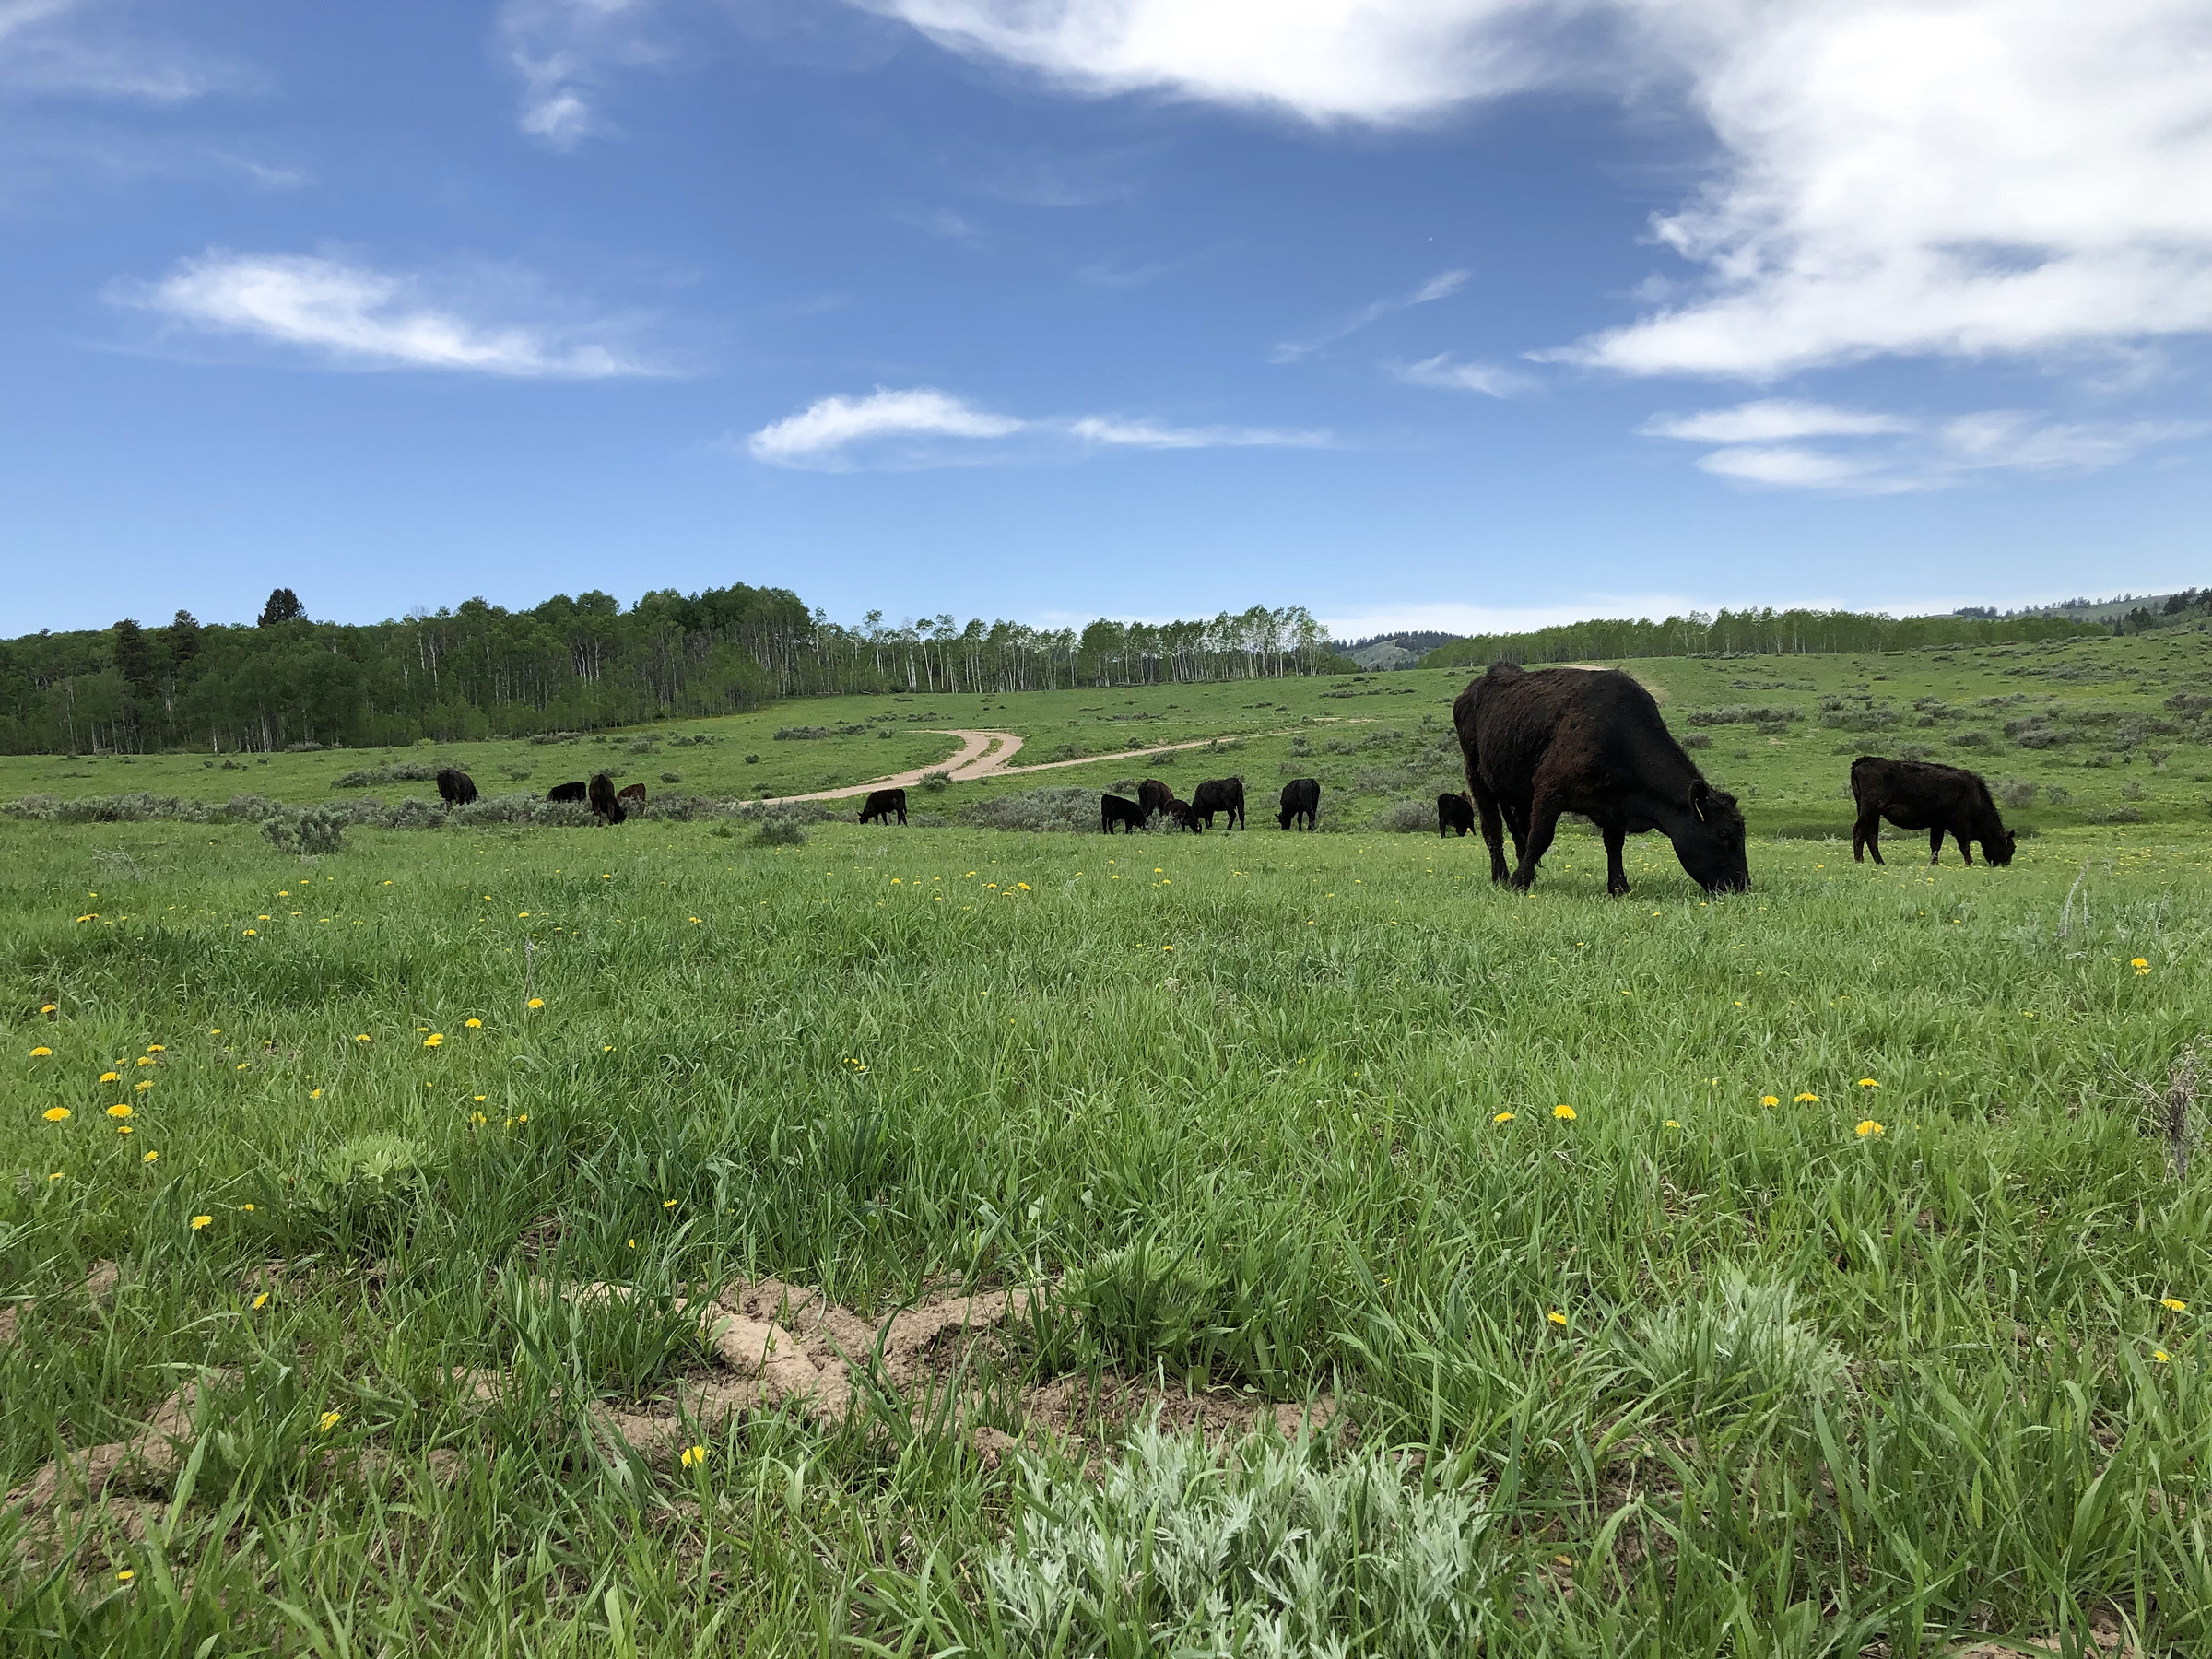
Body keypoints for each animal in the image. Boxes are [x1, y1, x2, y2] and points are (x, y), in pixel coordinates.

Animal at [1453, 662, 1748, 896]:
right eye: (1723, 835)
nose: (1742, 885)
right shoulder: (1550, 791)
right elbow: (1541, 837)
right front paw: (1518, 883)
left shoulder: (1615, 807)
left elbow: (1614, 846)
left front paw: (1619, 887)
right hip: (1478, 778)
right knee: (1493, 829)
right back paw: (1501, 876)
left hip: (1517, 792)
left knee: (1519, 833)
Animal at [1850, 756, 2016, 867]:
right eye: (2012, 848)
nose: (2005, 865)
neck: (1975, 795)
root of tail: (1864, 761)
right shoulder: (1960, 825)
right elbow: (1964, 845)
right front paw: (1969, 862)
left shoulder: (1938, 824)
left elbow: (1936, 845)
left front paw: (1934, 863)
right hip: (1869, 811)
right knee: (1860, 831)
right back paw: (1860, 861)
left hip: (1871, 813)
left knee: (1871, 835)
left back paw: (1880, 862)